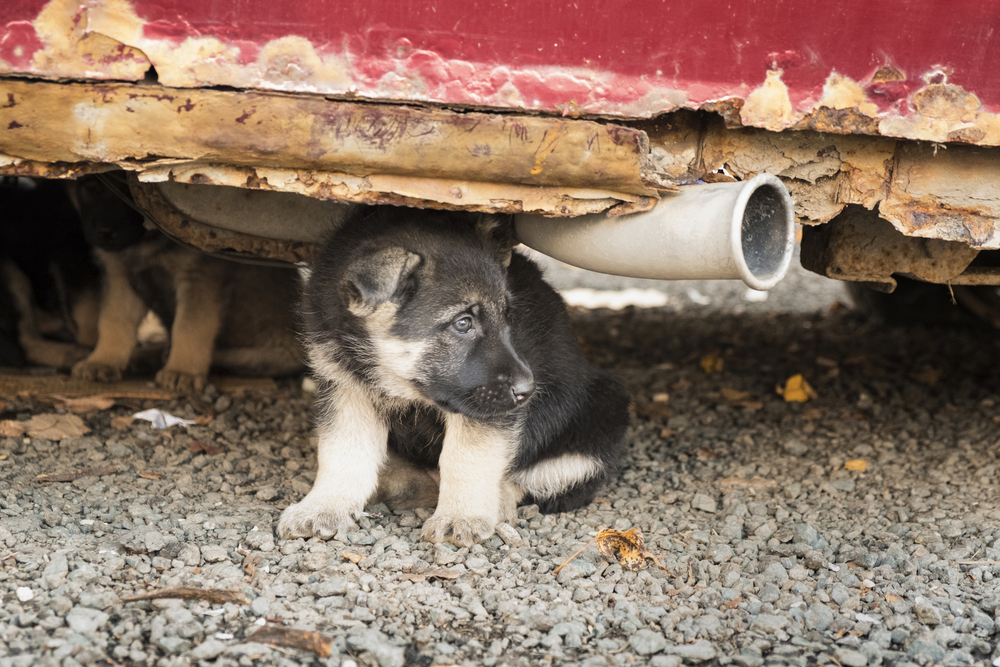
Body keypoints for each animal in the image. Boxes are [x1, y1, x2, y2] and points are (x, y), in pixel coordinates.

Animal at [278, 207, 628, 548]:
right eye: (463, 323)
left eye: (508, 317)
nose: (528, 392)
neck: (398, 380)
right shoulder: (346, 388)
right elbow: (343, 451)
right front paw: (324, 507)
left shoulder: (482, 408)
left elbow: (467, 457)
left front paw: (461, 516)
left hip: (604, 412)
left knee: (528, 482)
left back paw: (496, 503)